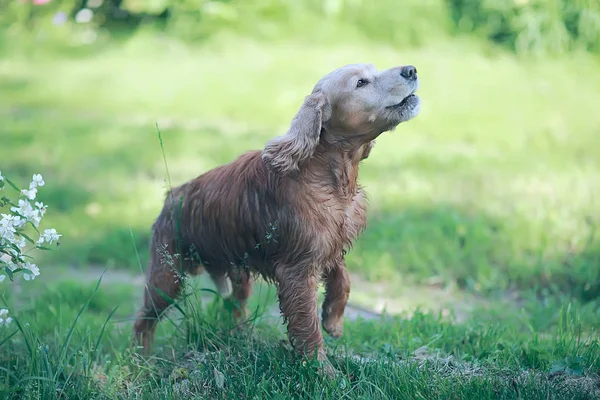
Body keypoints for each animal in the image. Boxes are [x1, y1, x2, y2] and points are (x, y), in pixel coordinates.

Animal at [133, 62, 420, 376]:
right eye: (361, 83)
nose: (411, 70)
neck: (326, 177)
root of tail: (171, 196)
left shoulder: (329, 245)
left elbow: (343, 279)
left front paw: (333, 319)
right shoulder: (297, 271)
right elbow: (307, 327)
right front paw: (324, 372)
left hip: (238, 278)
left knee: (233, 310)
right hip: (166, 279)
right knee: (142, 322)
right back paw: (141, 364)